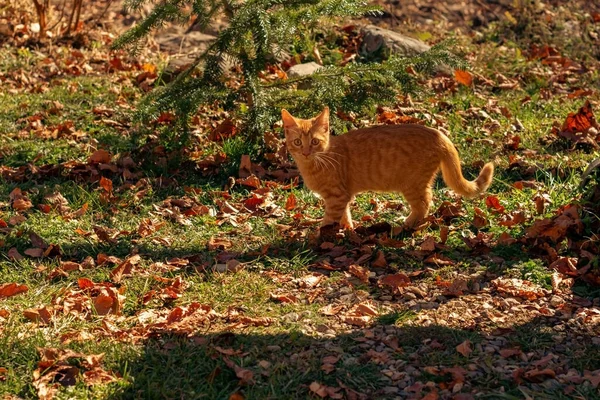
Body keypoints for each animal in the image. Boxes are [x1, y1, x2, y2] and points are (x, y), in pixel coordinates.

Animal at [282, 106, 492, 230]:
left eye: (315, 142)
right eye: (298, 142)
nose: (306, 152)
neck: (318, 161)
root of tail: (439, 134)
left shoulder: (336, 196)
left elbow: (329, 219)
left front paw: (320, 235)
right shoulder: (343, 196)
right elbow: (345, 214)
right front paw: (348, 229)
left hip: (413, 185)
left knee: (425, 202)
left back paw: (407, 224)